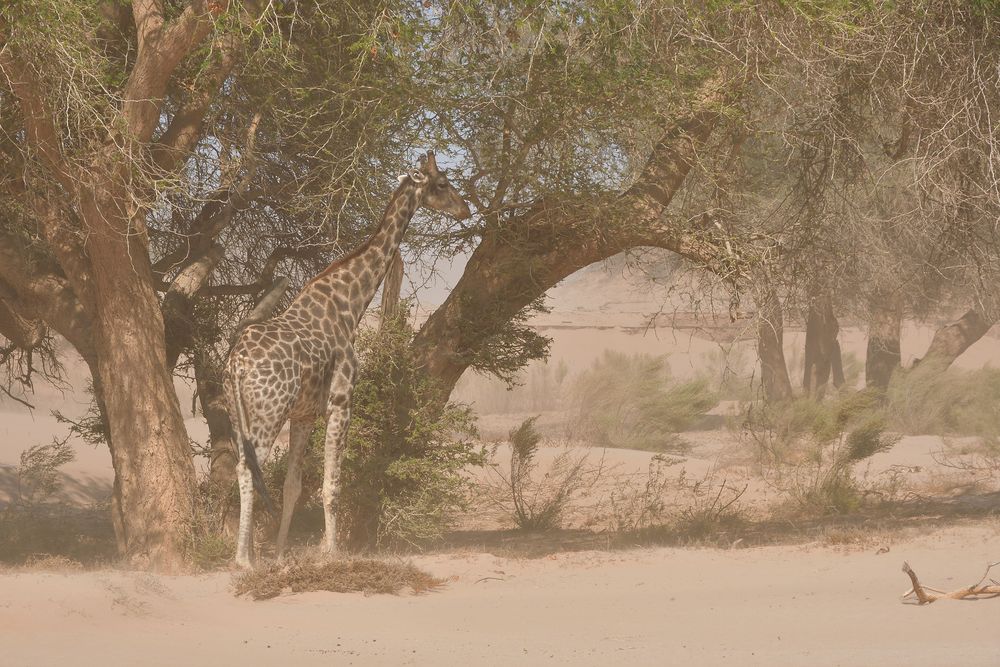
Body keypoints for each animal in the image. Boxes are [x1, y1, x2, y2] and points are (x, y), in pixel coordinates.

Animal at [226, 153, 472, 568]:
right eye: (442, 184)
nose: (465, 209)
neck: (350, 302)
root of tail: (237, 365)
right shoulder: (342, 402)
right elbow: (332, 484)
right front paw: (333, 552)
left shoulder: (305, 413)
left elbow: (294, 485)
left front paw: (281, 553)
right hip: (267, 412)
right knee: (248, 468)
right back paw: (243, 559)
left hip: (238, 412)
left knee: (246, 467)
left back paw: (252, 555)